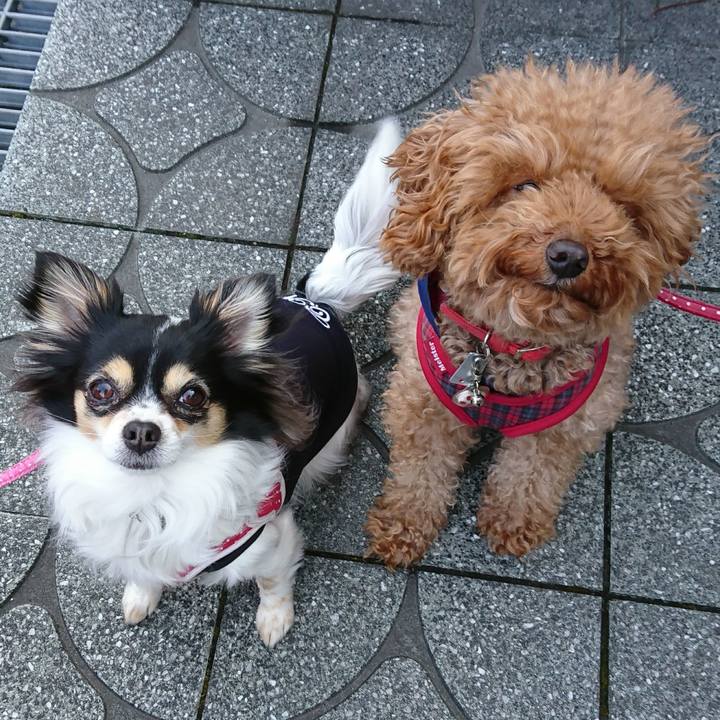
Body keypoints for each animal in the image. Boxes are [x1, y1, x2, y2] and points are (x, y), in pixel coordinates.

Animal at [13, 121, 401, 647]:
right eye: (101, 390)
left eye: (192, 396)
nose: (141, 431)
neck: (152, 496)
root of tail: (316, 301)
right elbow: (143, 572)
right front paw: (141, 596)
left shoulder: (272, 539)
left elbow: (272, 582)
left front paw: (274, 620)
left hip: (335, 431)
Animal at [360, 62, 709, 568]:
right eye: (523, 185)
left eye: (622, 207)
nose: (569, 255)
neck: (508, 345)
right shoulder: (422, 403)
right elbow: (421, 472)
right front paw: (403, 526)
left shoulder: (567, 423)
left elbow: (529, 474)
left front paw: (513, 522)